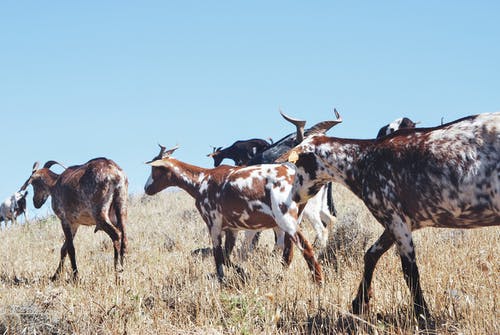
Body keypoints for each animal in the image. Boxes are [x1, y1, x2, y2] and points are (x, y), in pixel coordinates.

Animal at [145, 146, 324, 284]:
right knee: (288, 253)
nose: (147, 188)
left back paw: (318, 282)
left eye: (155, 168)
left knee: (306, 247)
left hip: (285, 219)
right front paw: (243, 272)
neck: (202, 180)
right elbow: (226, 256)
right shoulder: (232, 229)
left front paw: (223, 280)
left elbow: (218, 257)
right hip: (292, 220)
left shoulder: (213, 225)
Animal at [284, 111, 500, 324]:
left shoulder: (396, 221)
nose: (294, 197)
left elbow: (409, 271)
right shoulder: (395, 223)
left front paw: (423, 315)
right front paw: (359, 303)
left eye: (298, 163)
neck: (362, 160)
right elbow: (370, 255)